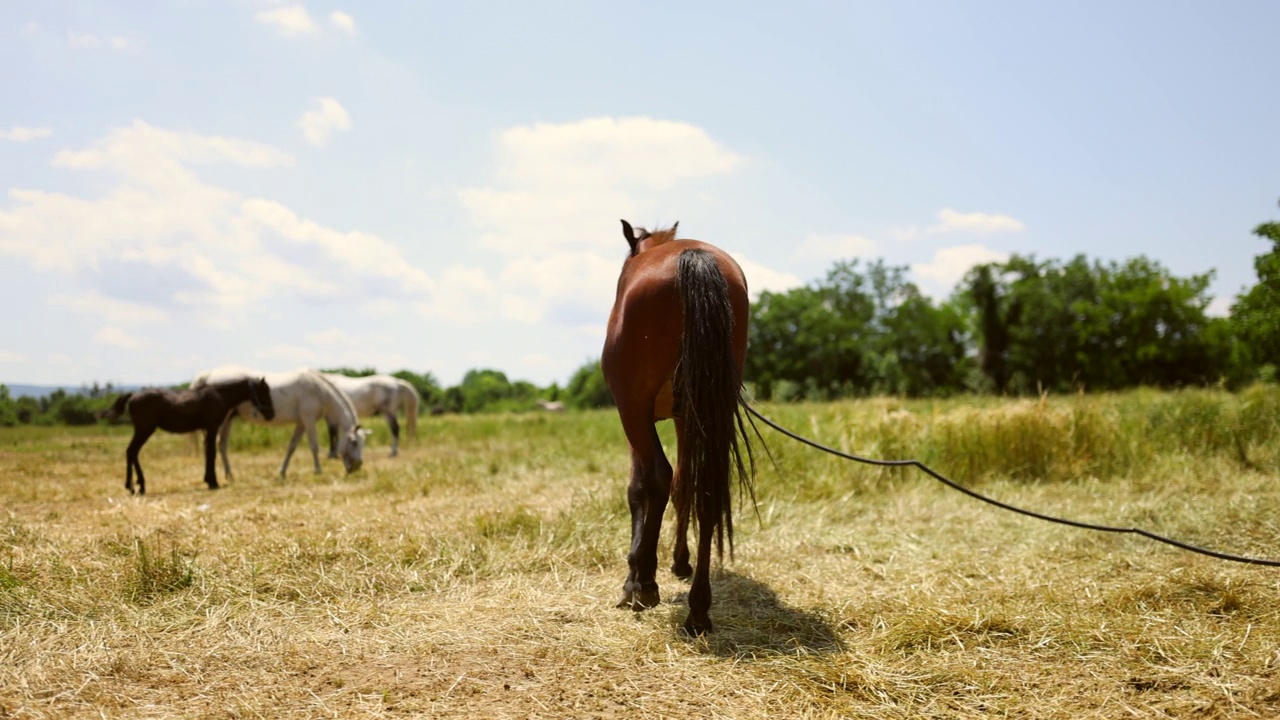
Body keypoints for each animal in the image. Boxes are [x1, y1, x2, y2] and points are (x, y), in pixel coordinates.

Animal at [101, 376, 276, 491]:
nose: (271, 414)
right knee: (131, 451)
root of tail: (133, 395)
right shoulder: (212, 428)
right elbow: (211, 453)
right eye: (264, 391)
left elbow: (208, 453)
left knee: (132, 452)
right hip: (144, 430)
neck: (219, 395)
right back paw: (135, 485)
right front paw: (213, 482)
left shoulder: (207, 430)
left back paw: (136, 485)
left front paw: (208, 479)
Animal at [190, 363, 371, 476]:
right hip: (223, 420)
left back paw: (229, 474)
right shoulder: (309, 420)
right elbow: (314, 446)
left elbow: (292, 447)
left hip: (229, 420)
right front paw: (318, 470)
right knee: (216, 444)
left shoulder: (301, 423)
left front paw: (282, 472)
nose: (357, 466)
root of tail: (210, 374)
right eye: (354, 442)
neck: (319, 390)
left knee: (222, 445)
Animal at [604, 219, 752, 632]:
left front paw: (636, 576)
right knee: (707, 491)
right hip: (710, 408)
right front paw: (679, 561)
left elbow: (640, 488)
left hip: (633, 409)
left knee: (659, 476)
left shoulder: (636, 415)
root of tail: (693, 257)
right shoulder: (688, 418)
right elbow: (685, 485)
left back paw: (646, 586)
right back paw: (698, 609)